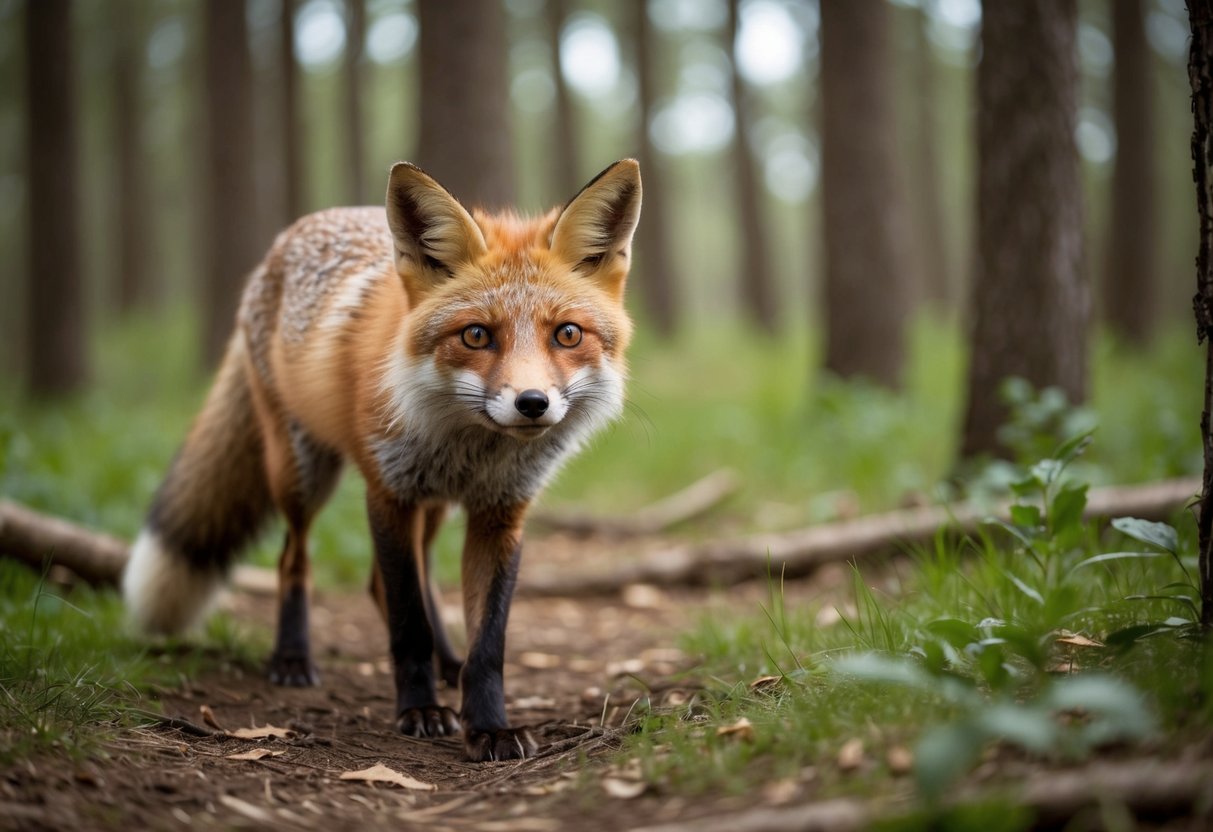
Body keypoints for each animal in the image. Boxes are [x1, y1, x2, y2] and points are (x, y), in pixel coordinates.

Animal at [120, 160, 645, 766]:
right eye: (476, 335)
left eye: (567, 334)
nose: (532, 403)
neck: (473, 449)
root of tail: (285, 239)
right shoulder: (389, 492)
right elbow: (407, 621)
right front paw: (419, 711)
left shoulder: (501, 512)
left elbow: (488, 642)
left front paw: (489, 725)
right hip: (301, 473)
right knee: (294, 560)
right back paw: (293, 658)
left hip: (434, 505)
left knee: (394, 578)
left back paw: (448, 664)